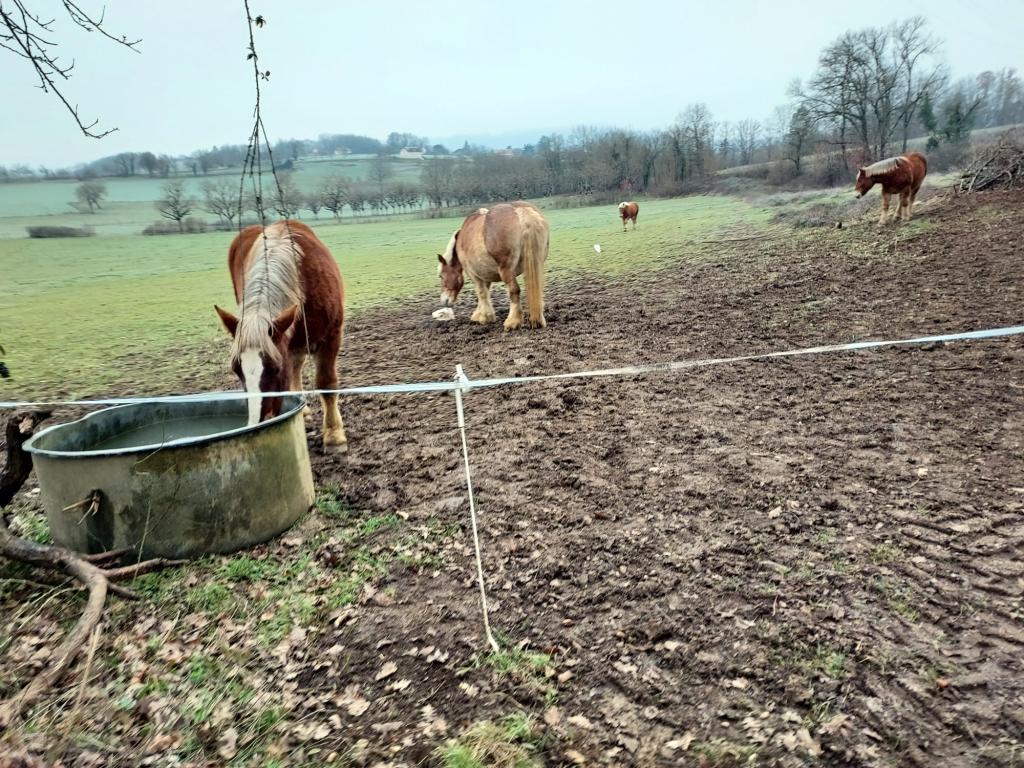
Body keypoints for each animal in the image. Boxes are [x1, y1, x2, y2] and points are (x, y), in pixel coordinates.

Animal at [212, 219, 348, 450]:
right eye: (236, 370)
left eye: (275, 369)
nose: (260, 422)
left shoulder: (331, 336)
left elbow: (326, 383)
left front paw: (334, 435)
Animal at [440, 201, 552, 331]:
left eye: (441, 276)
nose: (444, 300)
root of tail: (520, 210)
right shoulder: (484, 274)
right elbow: (485, 292)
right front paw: (479, 314)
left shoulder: (474, 274)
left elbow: (481, 293)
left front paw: (485, 317)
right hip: (537, 264)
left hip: (506, 270)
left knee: (514, 290)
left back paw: (512, 321)